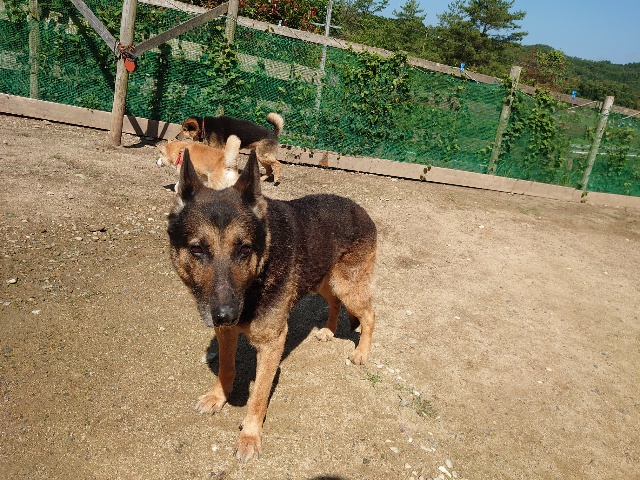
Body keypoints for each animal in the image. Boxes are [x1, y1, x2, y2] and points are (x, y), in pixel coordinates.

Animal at [167, 150, 377, 462]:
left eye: (244, 249)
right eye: (197, 249)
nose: (226, 315)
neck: (257, 277)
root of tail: (361, 210)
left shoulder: (272, 344)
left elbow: (259, 395)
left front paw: (250, 436)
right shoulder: (226, 332)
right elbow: (226, 367)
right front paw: (219, 396)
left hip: (346, 285)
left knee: (370, 314)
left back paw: (362, 352)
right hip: (323, 281)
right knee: (336, 303)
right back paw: (328, 331)